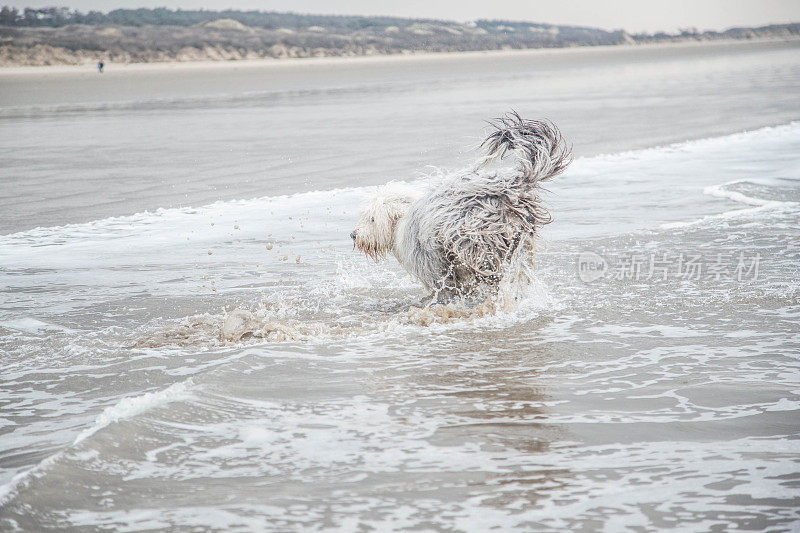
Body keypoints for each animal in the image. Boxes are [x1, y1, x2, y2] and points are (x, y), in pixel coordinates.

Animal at [350, 111, 568, 300]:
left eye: (371, 218)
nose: (353, 234)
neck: (402, 220)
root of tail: (511, 186)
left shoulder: (433, 269)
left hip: (477, 240)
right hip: (519, 241)